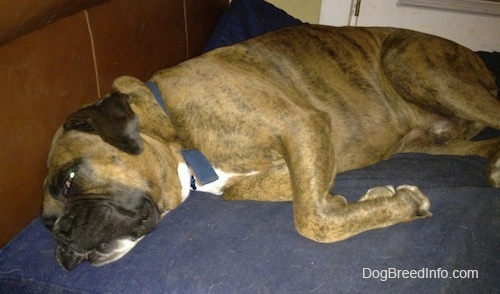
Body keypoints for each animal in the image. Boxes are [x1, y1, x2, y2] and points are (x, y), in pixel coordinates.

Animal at [42, 24, 500, 270]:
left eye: (69, 179)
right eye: (45, 225)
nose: (60, 240)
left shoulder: (303, 125)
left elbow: (311, 219)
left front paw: (400, 205)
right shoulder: (291, 159)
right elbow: (307, 195)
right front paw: (370, 200)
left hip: (414, 65)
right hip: (432, 140)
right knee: (484, 143)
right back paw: (494, 164)